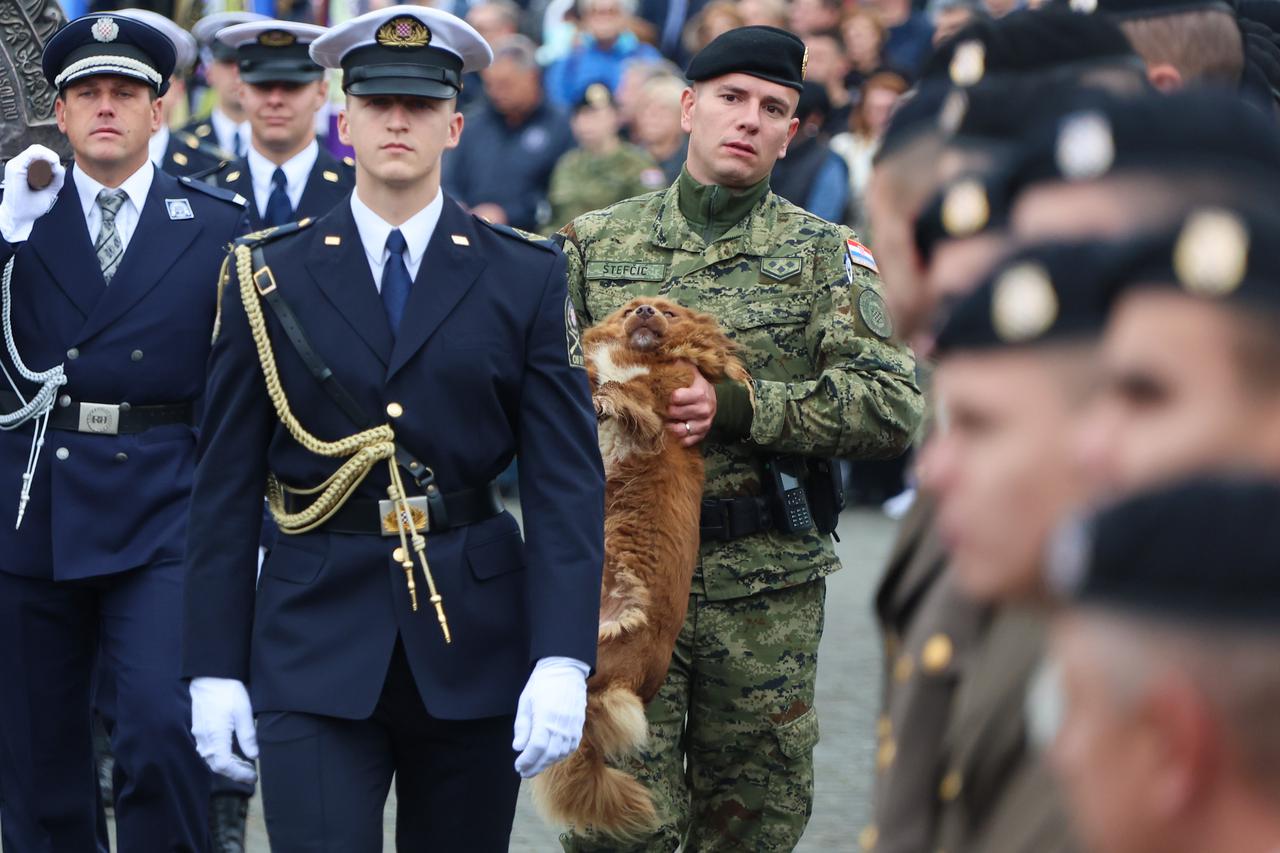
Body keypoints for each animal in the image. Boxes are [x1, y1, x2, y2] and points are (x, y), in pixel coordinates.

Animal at [532, 295, 747, 835]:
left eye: (668, 312)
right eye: (632, 308)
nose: (646, 309)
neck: (636, 353)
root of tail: (628, 682)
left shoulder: (664, 399)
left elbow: (630, 394)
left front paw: (609, 397)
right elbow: (592, 373)